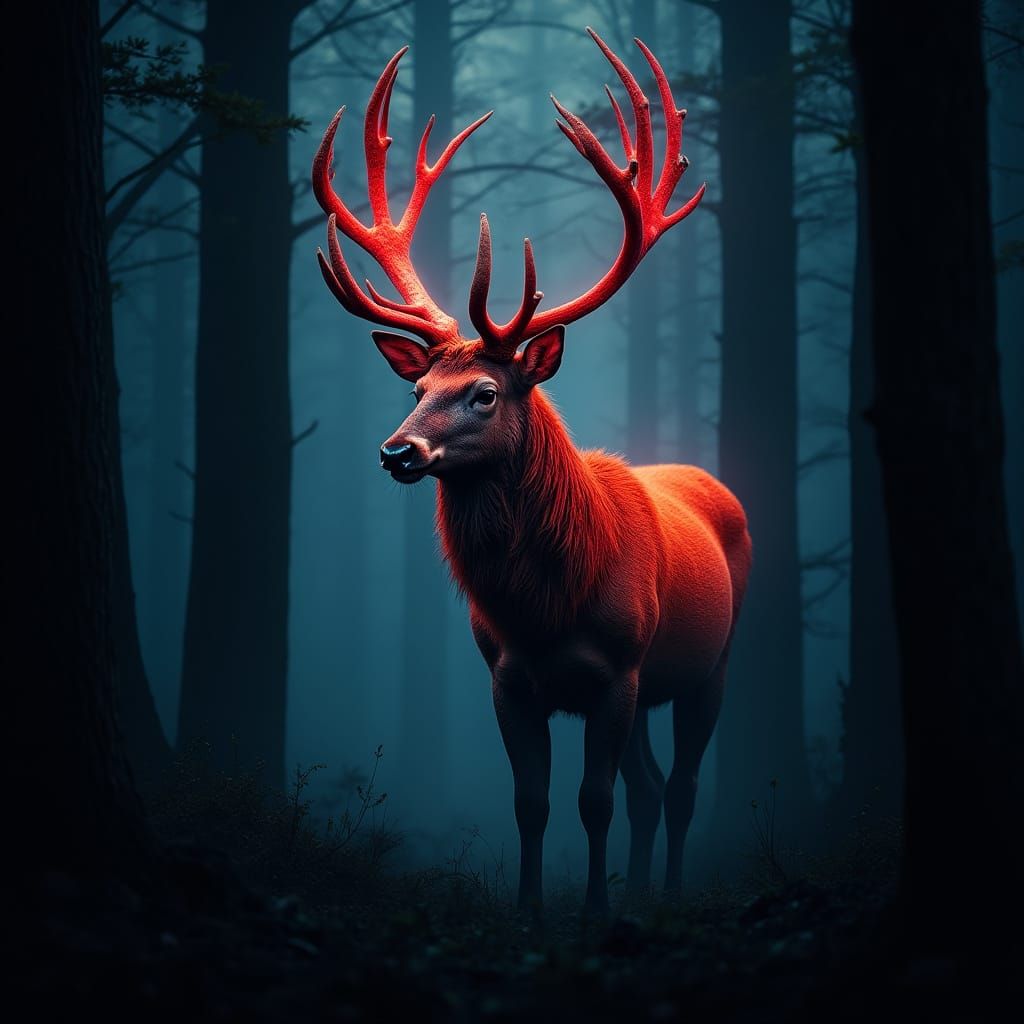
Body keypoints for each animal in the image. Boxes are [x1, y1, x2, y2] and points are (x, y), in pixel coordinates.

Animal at [311, 27, 751, 916]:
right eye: (417, 389)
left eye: (484, 392)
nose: (397, 452)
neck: (549, 603)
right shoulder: (509, 679)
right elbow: (532, 803)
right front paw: (530, 910)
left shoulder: (617, 674)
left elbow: (595, 801)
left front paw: (592, 912)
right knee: (653, 787)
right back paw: (642, 892)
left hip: (710, 665)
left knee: (680, 788)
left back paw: (665, 895)